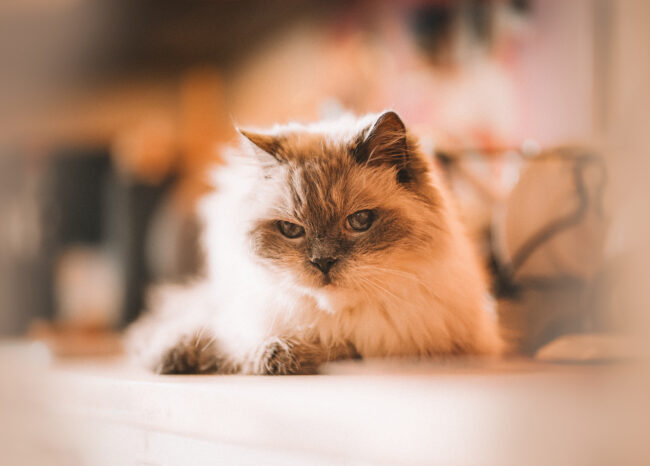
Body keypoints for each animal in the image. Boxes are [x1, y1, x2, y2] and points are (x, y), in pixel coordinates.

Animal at [125, 110, 502, 374]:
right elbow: (221, 337)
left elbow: (322, 348)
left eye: (360, 221)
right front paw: (176, 356)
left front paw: (277, 357)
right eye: (290, 230)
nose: (322, 262)